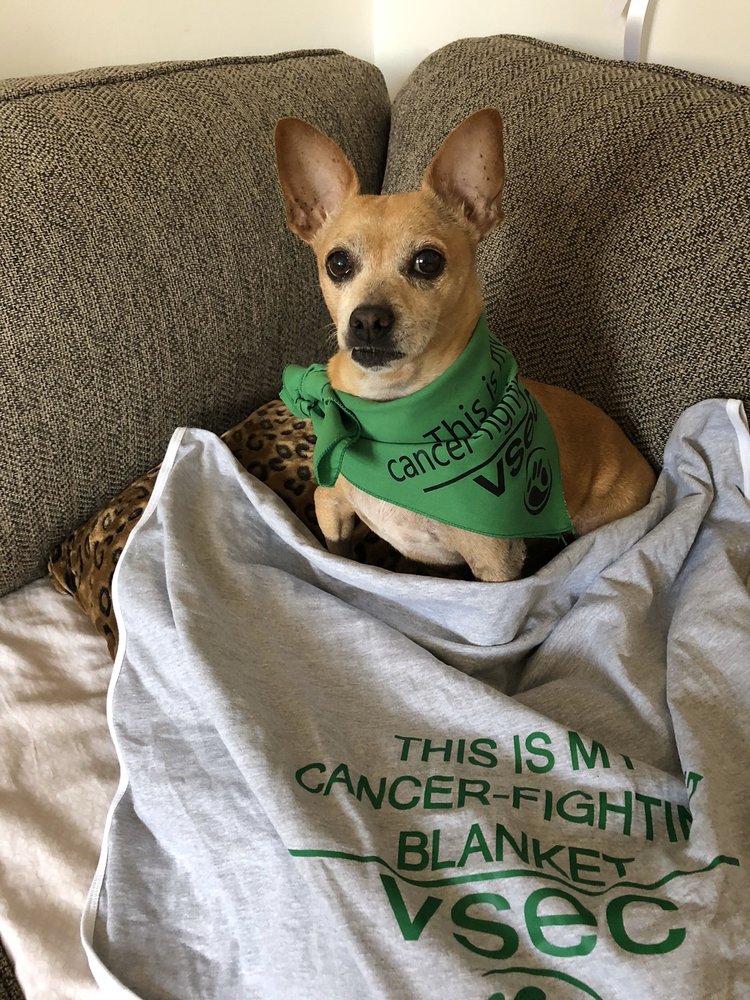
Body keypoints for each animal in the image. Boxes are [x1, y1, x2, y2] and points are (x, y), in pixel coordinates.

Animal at [275, 109, 656, 582]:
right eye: (338, 263)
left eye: (428, 261)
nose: (367, 320)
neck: (393, 411)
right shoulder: (330, 509)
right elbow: (337, 554)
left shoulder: (494, 564)